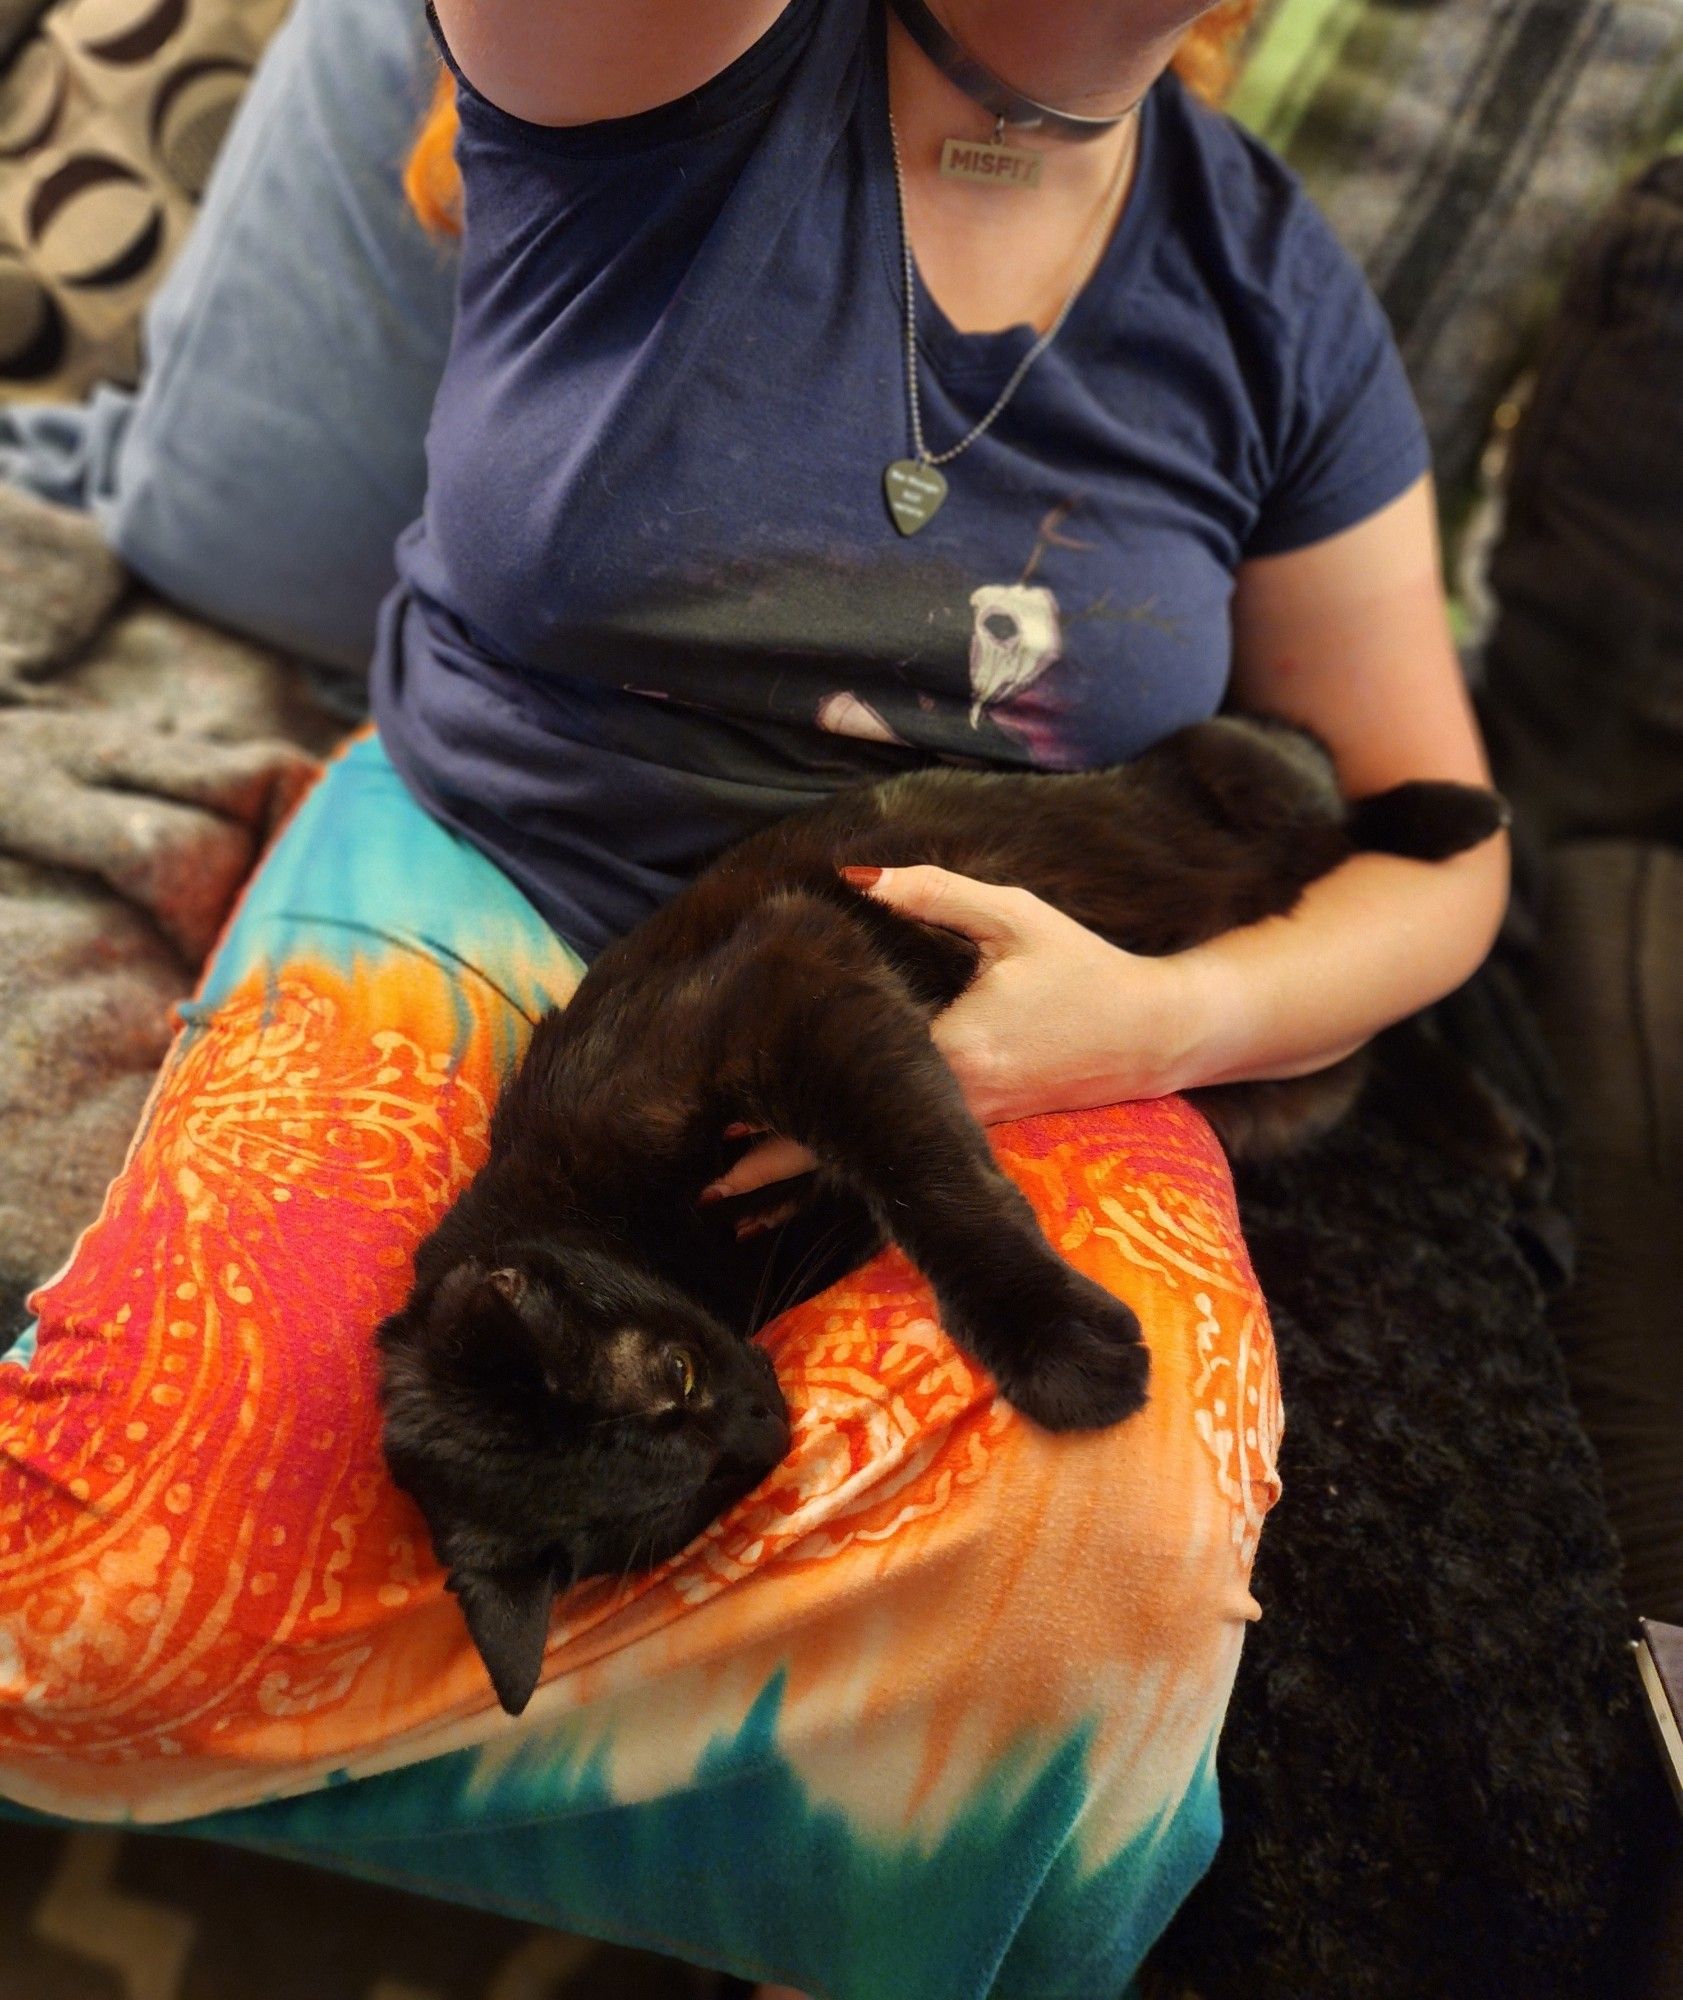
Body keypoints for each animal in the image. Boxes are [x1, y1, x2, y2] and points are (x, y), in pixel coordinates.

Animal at [373, 712, 1503, 1712]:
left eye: (675, 1371)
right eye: (683, 1502)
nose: (763, 1426)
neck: (599, 1212)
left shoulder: (789, 984)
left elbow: (927, 1172)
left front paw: (1056, 1345)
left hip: (1249, 786)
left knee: (1344, 826)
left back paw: (1457, 819)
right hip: (1277, 1092)